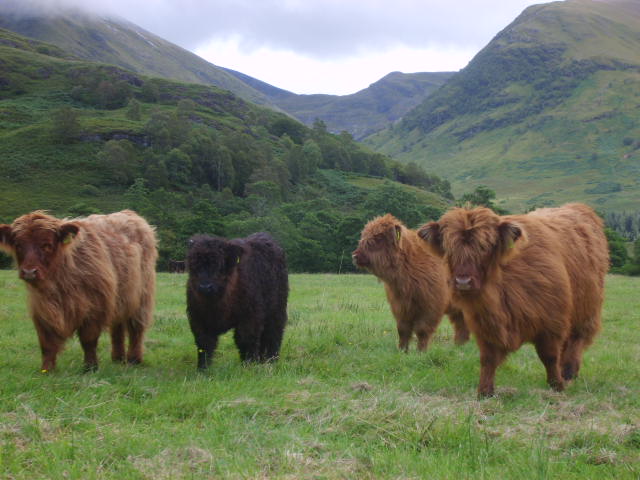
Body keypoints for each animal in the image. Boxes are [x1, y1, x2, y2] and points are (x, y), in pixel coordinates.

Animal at [0, 210, 158, 372]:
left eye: (47, 245)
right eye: (18, 245)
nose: (29, 272)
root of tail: (129, 213)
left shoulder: (94, 307)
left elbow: (88, 340)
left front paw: (90, 367)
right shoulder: (42, 309)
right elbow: (47, 342)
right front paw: (47, 369)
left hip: (142, 296)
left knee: (136, 328)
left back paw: (134, 359)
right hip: (120, 299)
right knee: (117, 327)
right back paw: (118, 358)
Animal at [186, 232, 288, 368]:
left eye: (220, 265)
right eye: (193, 265)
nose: (205, 287)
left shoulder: (250, 317)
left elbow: (246, 339)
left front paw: (248, 365)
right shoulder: (198, 320)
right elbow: (204, 344)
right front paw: (202, 368)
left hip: (277, 309)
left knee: (274, 333)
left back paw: (271, 360)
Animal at [352, 216, 468, 350]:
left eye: (379, 237)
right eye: (364, 235)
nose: (355, 255)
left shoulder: (431, 306)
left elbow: (422, 330)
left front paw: (421, 351)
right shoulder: (401, 307)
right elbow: (403, 330)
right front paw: (402, 350)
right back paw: (459, 347)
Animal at [418, 203, 608, 398]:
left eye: (485, 247)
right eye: (449, 248)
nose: (463, 281)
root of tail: (577, 207)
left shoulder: (551, 323)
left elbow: (549, 356)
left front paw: (557, 385)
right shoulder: (485, 326)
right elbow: (488, 359)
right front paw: (484, 391)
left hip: (586, 309)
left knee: (576, 340)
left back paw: (569, 372)